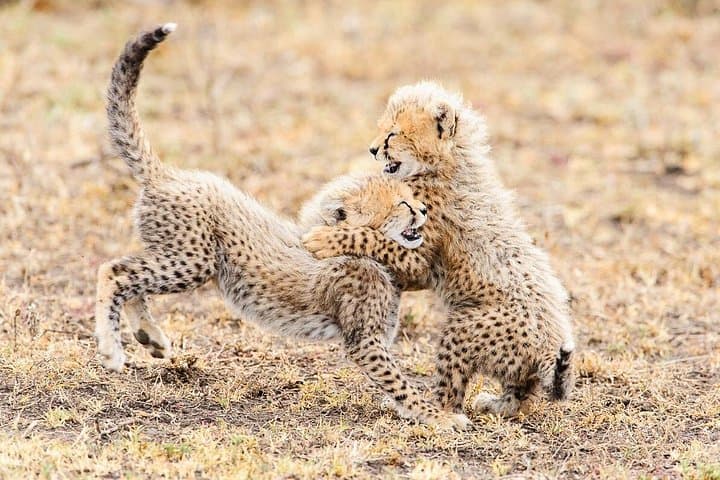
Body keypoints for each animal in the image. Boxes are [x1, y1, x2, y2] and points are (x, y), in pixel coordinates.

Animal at [95, 25, 470, 430]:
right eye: (402, 203)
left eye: (411, 195)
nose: (424, 210)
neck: (363, 254)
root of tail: (169, 175)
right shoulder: (365, 341)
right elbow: (400, 382)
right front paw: (438, 416)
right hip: (193, 259)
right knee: (114, 271)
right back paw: (111, 349)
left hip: (178, 255)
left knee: (131, 276)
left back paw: (149, 336)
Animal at [304, 81, 575, 417]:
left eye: (392, 134)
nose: (372, 149)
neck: (446, 163)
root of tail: (548, 346)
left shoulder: (418, 259)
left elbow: (370, 237)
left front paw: (325, 237)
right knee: (521, 395)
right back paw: (495, 405)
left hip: (465, 328)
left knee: (452, 393)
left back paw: (433, 411)